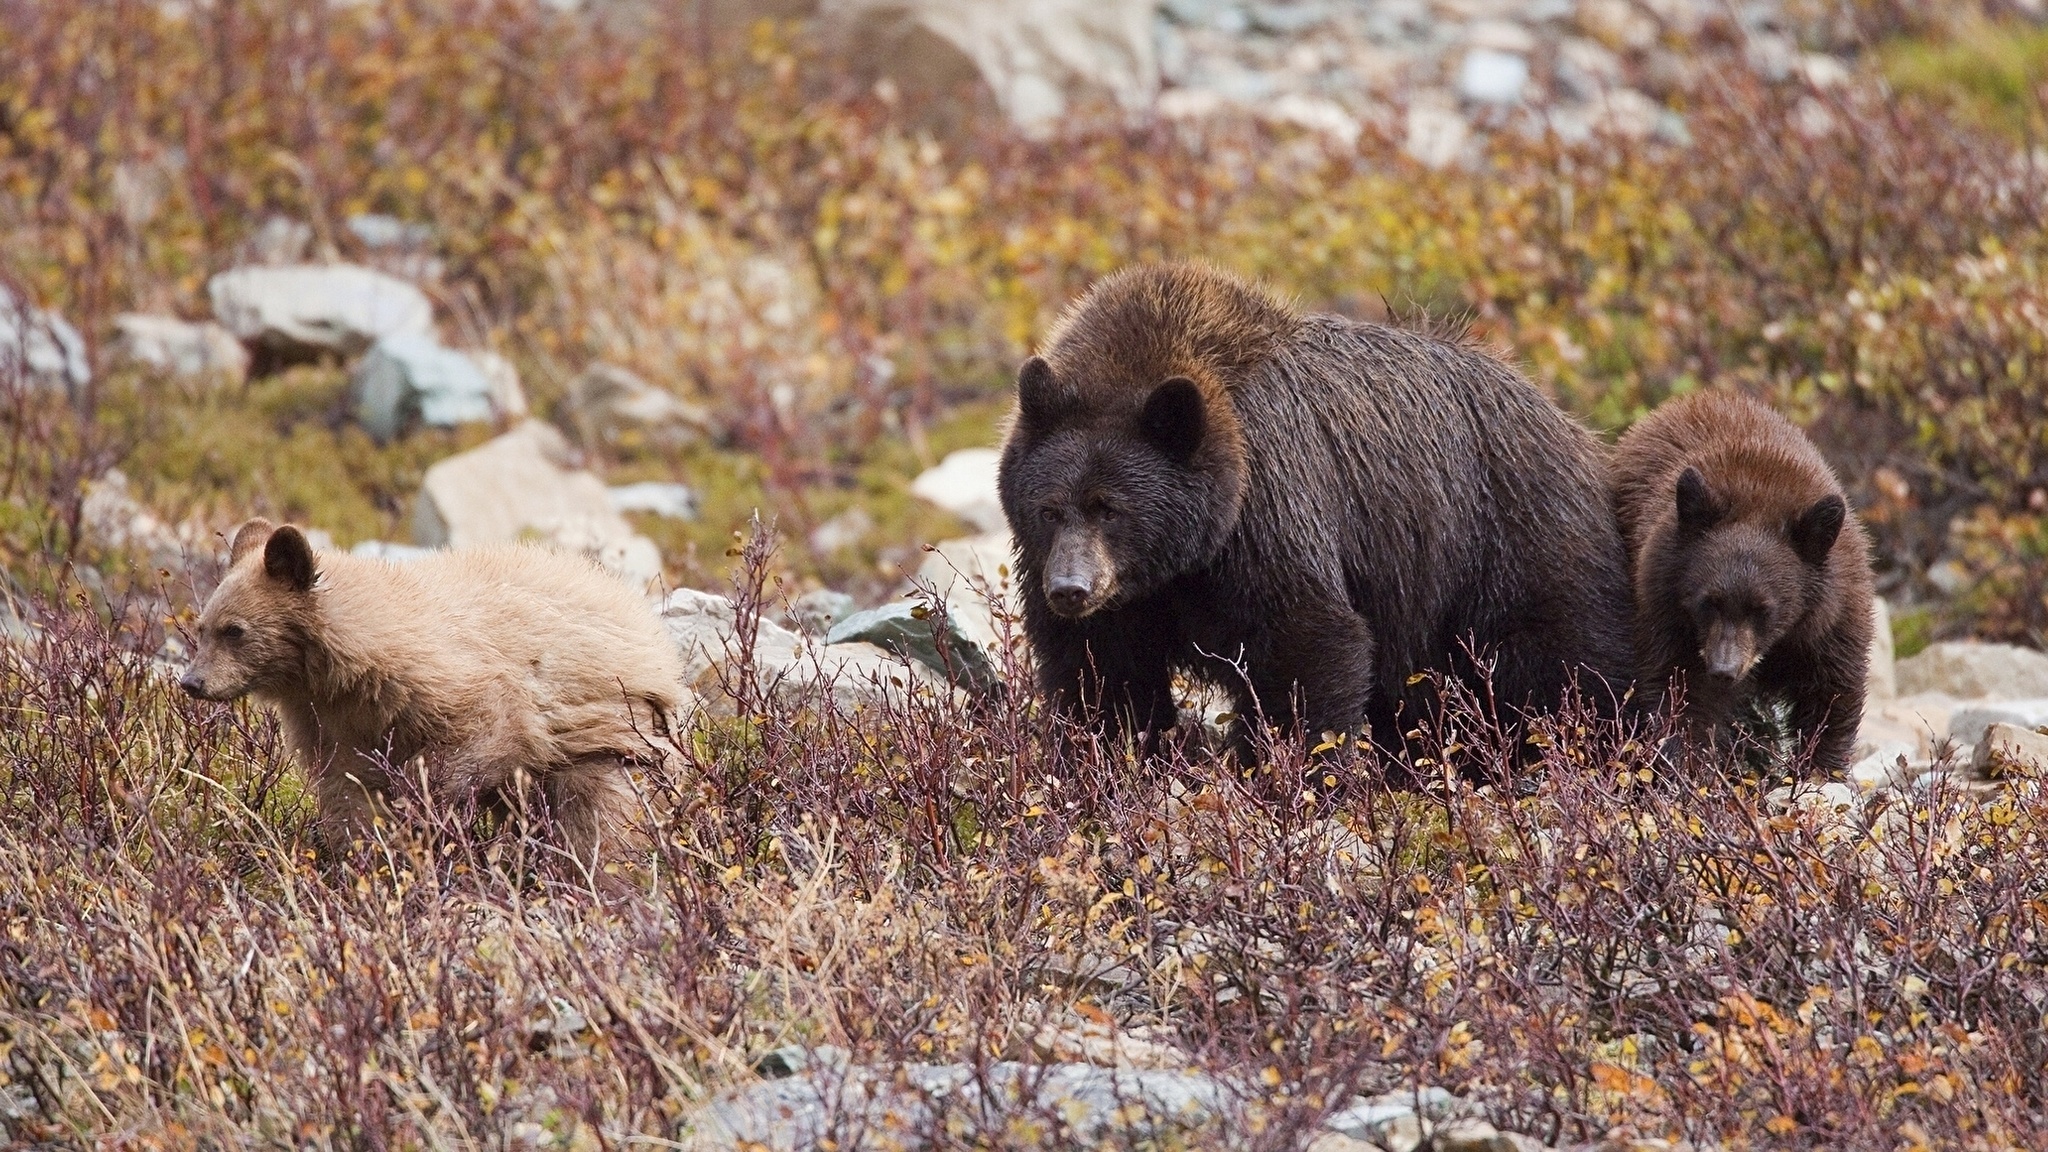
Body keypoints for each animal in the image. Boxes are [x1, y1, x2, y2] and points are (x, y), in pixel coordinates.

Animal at [991, 264, 1630, 758]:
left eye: (1110, 509)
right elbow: (1103, 676)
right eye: (1050, 510)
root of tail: (1569, 422)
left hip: (1508, 532)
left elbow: (1306, 642)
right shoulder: (1121, 600)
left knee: (1571, 659)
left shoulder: (1270, 512)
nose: (1070, 588)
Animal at [1613, 385, 1875, 770]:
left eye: (1763, 609)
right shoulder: (1666, 606)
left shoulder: (1833, 616)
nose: (1724, 669)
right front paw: (1685, 763)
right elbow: (1679, 690)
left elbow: (1831, 693)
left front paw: (1821, 768)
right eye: (1708, 603)